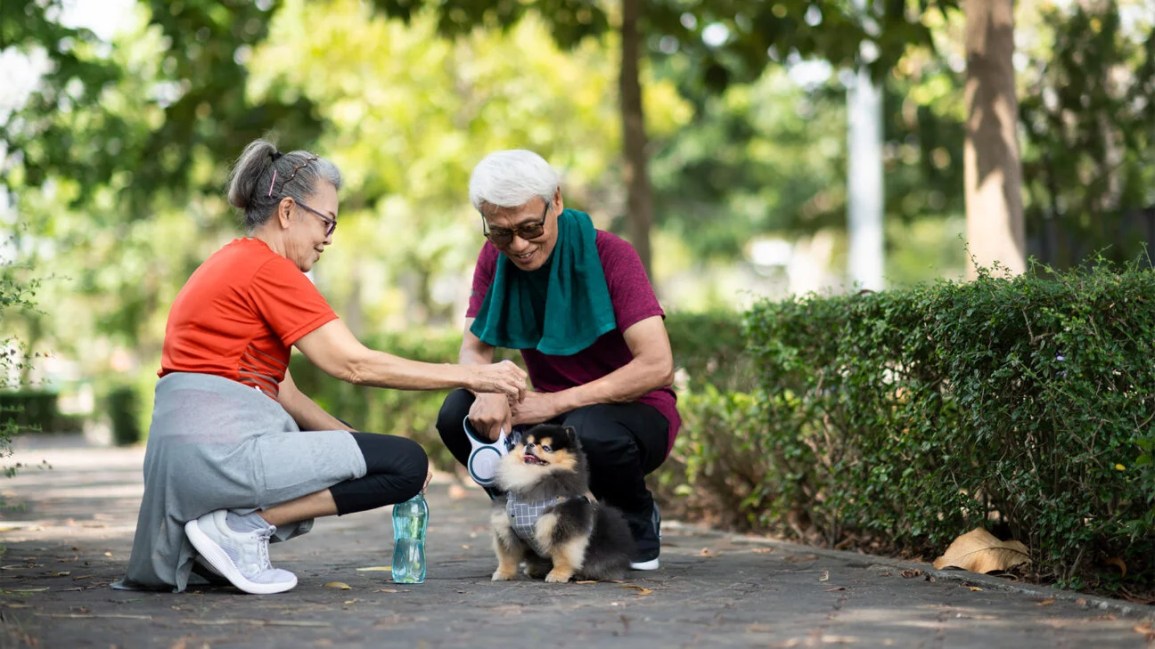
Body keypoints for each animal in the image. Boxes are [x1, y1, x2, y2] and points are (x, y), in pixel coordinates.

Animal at [487, 420, 632, 582]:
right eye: (529, 442)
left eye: (546, 448)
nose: (529, 446)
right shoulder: (506, 527)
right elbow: (507, 556)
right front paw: (503, 573)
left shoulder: (563, 524)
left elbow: (563, 555)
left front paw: (558, 574)